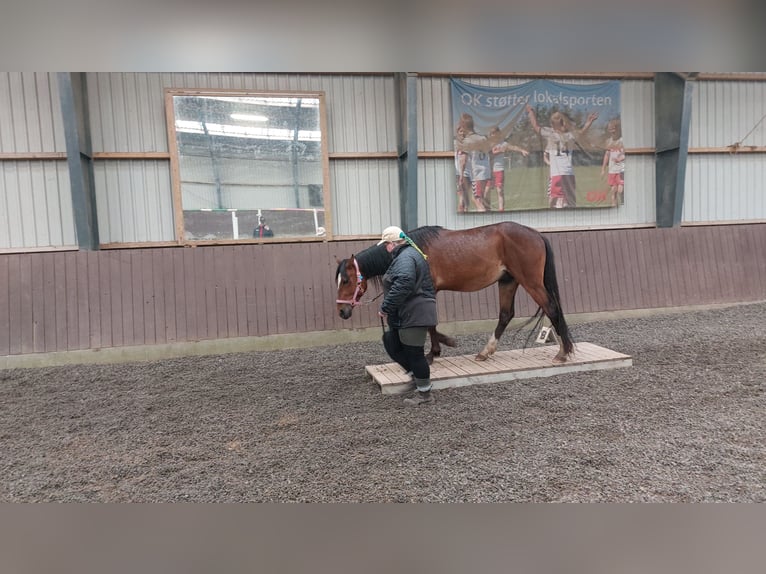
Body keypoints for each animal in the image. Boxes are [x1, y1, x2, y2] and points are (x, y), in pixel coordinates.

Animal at [336, 224, 576, 364]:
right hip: (508, 281)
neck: (415, 249)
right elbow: (429, 324)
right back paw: (485, 352)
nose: (342, 311)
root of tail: (536, 234)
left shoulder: (429, 290)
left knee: (551, 308)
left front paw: (434, 352)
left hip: (530, 282)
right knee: (506, 315)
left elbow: (430, 323)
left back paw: (563, 353)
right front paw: (443, 344)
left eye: (346, 280)